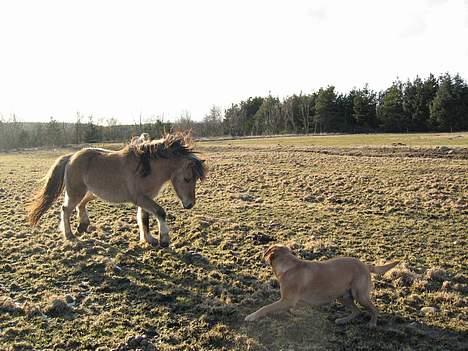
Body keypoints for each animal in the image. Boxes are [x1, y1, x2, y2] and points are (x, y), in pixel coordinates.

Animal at [27, 132, 207, 248]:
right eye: (187, 178)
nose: (189, 204)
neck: (146, 168)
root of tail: (70, 157)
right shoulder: (141, 198)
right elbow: (160, 213)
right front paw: (164, 240)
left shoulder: (146, 199)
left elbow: (144, 219)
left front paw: (149, 239)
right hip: (76, 193)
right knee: (66, 209)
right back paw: (70, 235)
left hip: (91, 193)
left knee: (80, 205)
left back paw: (83, 226)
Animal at [245, 245, 398, 328]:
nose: (260, 258)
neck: (288, 267)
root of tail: (365, 265)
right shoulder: (289, 301)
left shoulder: (287, 300)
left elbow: (266, 307)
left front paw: (252, 316)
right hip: (343, 296)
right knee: (357, 311)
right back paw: (343, 320)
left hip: (360, 295)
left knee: (373, 309)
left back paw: (372, 323)